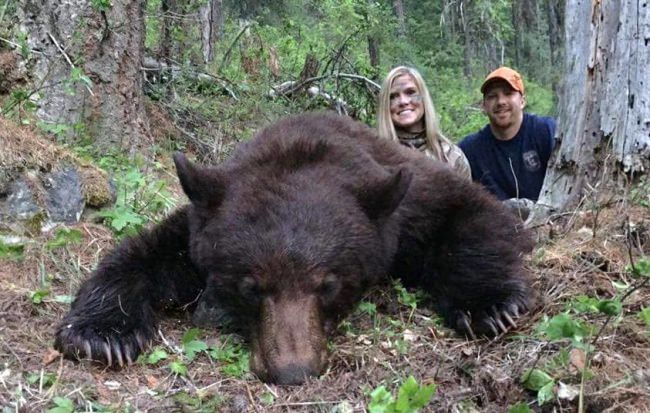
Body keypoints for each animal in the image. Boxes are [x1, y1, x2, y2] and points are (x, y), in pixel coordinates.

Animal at [54, 112, 534, 385]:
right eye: (250, 286)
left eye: (327, 285)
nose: (292, 372)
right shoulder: (201, 223)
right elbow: (146, 252)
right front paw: (102, 333)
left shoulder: (406, 199)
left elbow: (471, 211)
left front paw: (489, 305)